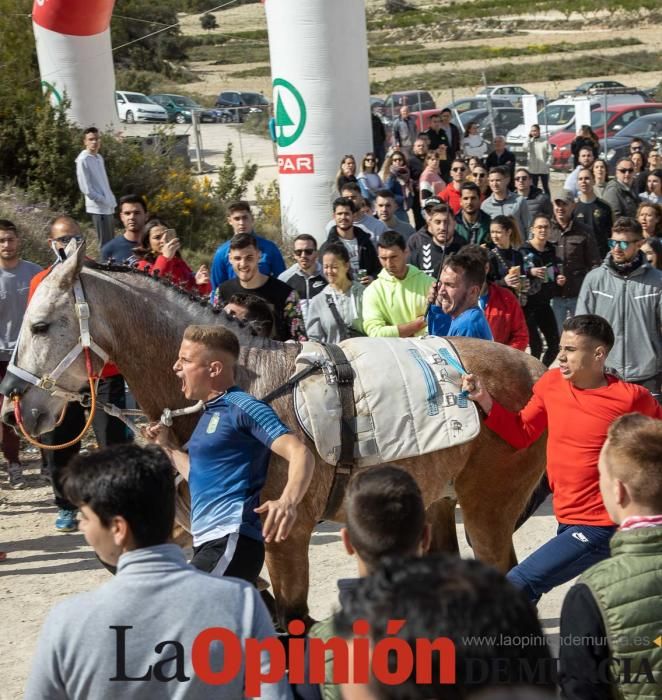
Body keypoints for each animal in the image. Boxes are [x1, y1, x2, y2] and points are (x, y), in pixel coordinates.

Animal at [2, 245, 548, 624]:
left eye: (41, 325)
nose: (13, 402)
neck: (245, 386)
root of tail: (535, 369)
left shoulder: (286, 540)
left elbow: (291, 618)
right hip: (439, 502)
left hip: (486, 512)